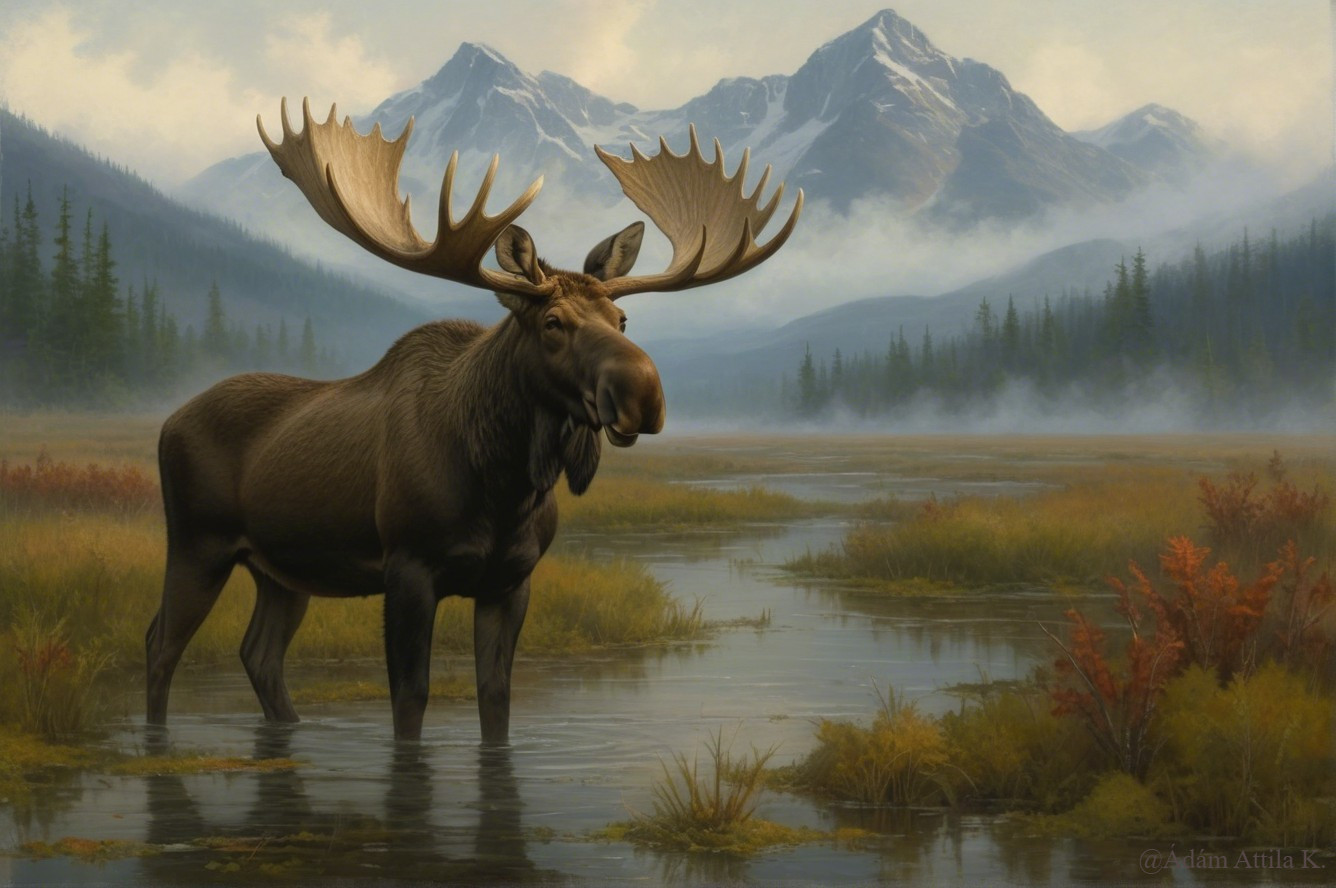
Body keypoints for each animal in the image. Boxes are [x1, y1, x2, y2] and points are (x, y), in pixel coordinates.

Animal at [145, 97, 802, 743]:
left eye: (621, 319)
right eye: (552, 323)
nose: (643, 394)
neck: (503, 483)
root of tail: (167, 422)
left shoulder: (510, 580)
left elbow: (497, 703)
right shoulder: (408, 569)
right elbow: (410, 703)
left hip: (282, 570)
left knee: (259, 655)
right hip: (198, 544)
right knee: (161, 644)